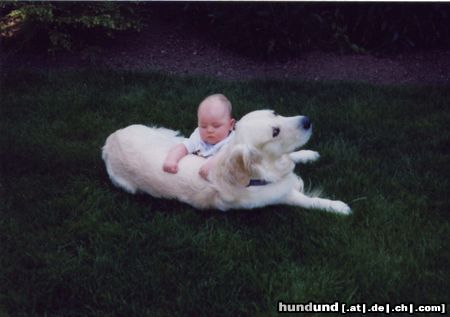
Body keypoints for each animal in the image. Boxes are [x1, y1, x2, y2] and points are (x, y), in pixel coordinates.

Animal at [102, 109, 352, 215]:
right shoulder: (281, 196)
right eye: (275, 132)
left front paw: (308, 154)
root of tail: (109, 140)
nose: (307, 120)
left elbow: (295, 156)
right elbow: (308, 200)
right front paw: (337, 206)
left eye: (276, 113)